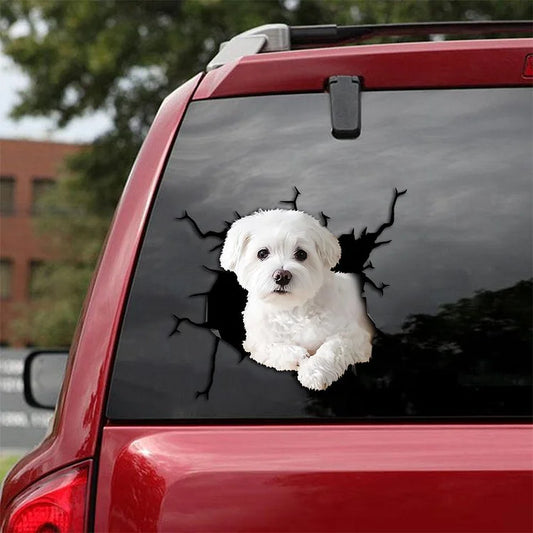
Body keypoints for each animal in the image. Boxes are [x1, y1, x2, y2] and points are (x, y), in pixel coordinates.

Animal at [218, 209, 372, 390]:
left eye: (301, 254)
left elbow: (332, 348)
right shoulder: (256, 341)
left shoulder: (355, 336)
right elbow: (268, 347)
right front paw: (297, 356)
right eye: (262, 253)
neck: (292, 310)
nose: (282, 276)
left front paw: (314, 372)